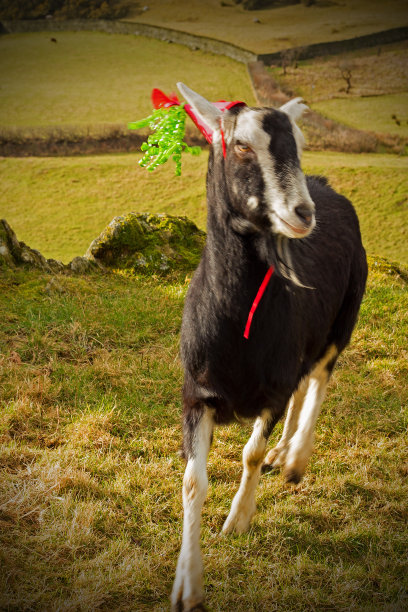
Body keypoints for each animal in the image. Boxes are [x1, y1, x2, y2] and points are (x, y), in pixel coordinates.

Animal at [171, 82, 368, 612]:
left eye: (298, 143)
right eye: (241, 145)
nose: (303, 214)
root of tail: (327, 187)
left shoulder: (274, 391)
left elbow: (250, 454)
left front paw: (237, 520)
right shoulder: (196, 393)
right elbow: (193, 480)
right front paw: (188, 585)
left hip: (343, 316)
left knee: (320, 377)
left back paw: (295, 459)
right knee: (308, 380)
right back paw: (286, 452)